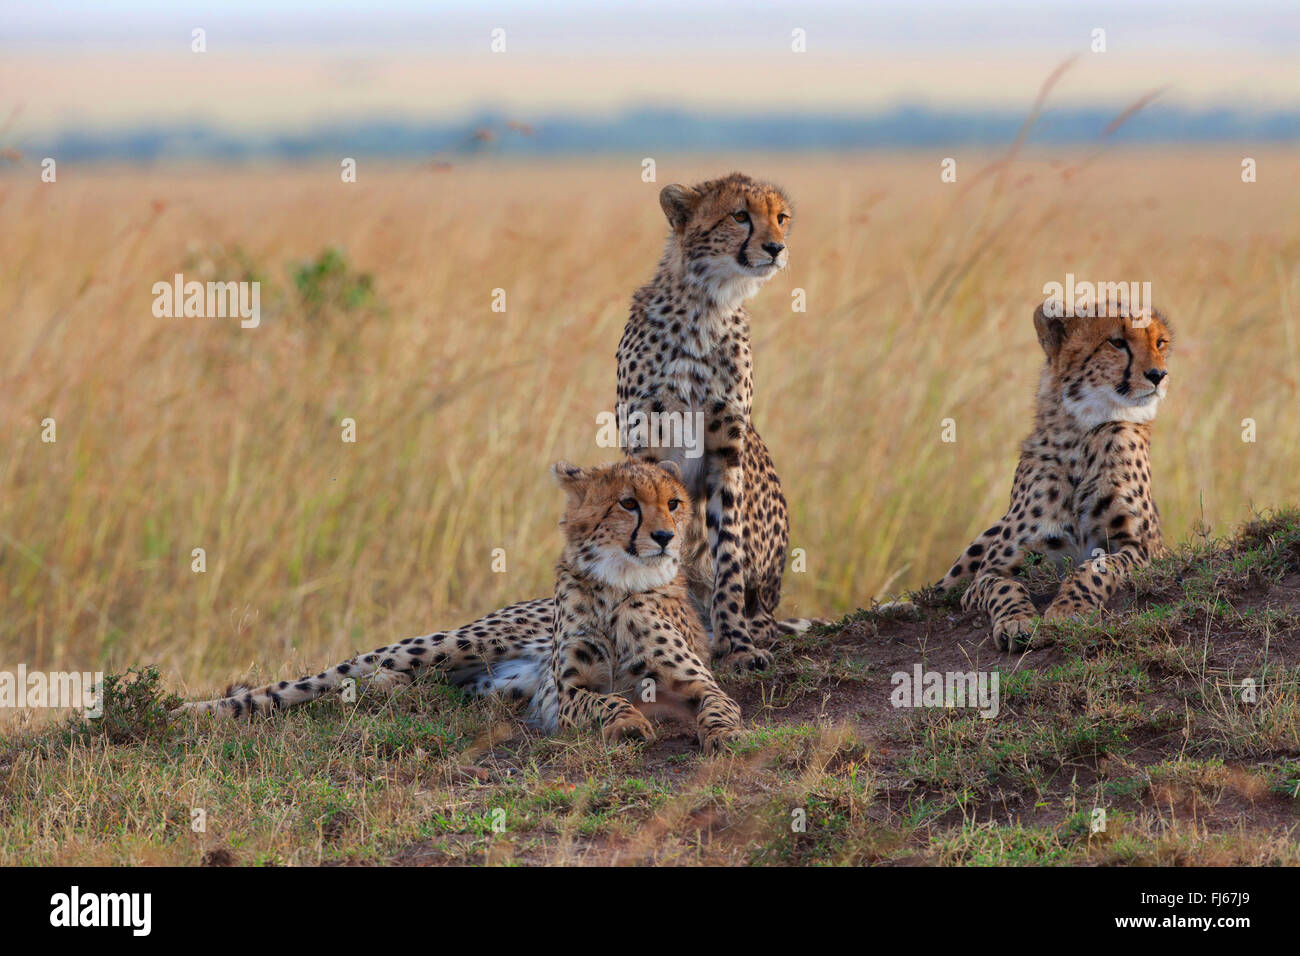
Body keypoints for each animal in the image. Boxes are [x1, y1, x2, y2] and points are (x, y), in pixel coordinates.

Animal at [178, 463, 743, 754]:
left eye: (673, 503)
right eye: (628, 503)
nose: (665, 537)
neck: (617, 583)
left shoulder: (695, 680)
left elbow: (720, 703)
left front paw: (728, 735)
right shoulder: (564, 693)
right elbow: (601, 701)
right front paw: (627, 722)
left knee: (377, 686)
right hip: (449, 644)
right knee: (307, 682)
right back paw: (187, 710)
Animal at [618, 171, 811, 671]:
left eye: (781, 217)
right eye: (740, 215)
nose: (776, 248)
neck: (707, 305)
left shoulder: (728, 447)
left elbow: (728, 549)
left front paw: (737, 644)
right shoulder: (646, 445)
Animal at [941, 303, 1175, 655]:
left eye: (1160, 343)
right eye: (1116, 342)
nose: (1158, 376)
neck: (1082, 436)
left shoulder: (1145, 547)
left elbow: (1097, 566)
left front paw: (1068, 610)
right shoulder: (988, 574)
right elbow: (1003, 586)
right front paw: (1017, 621)